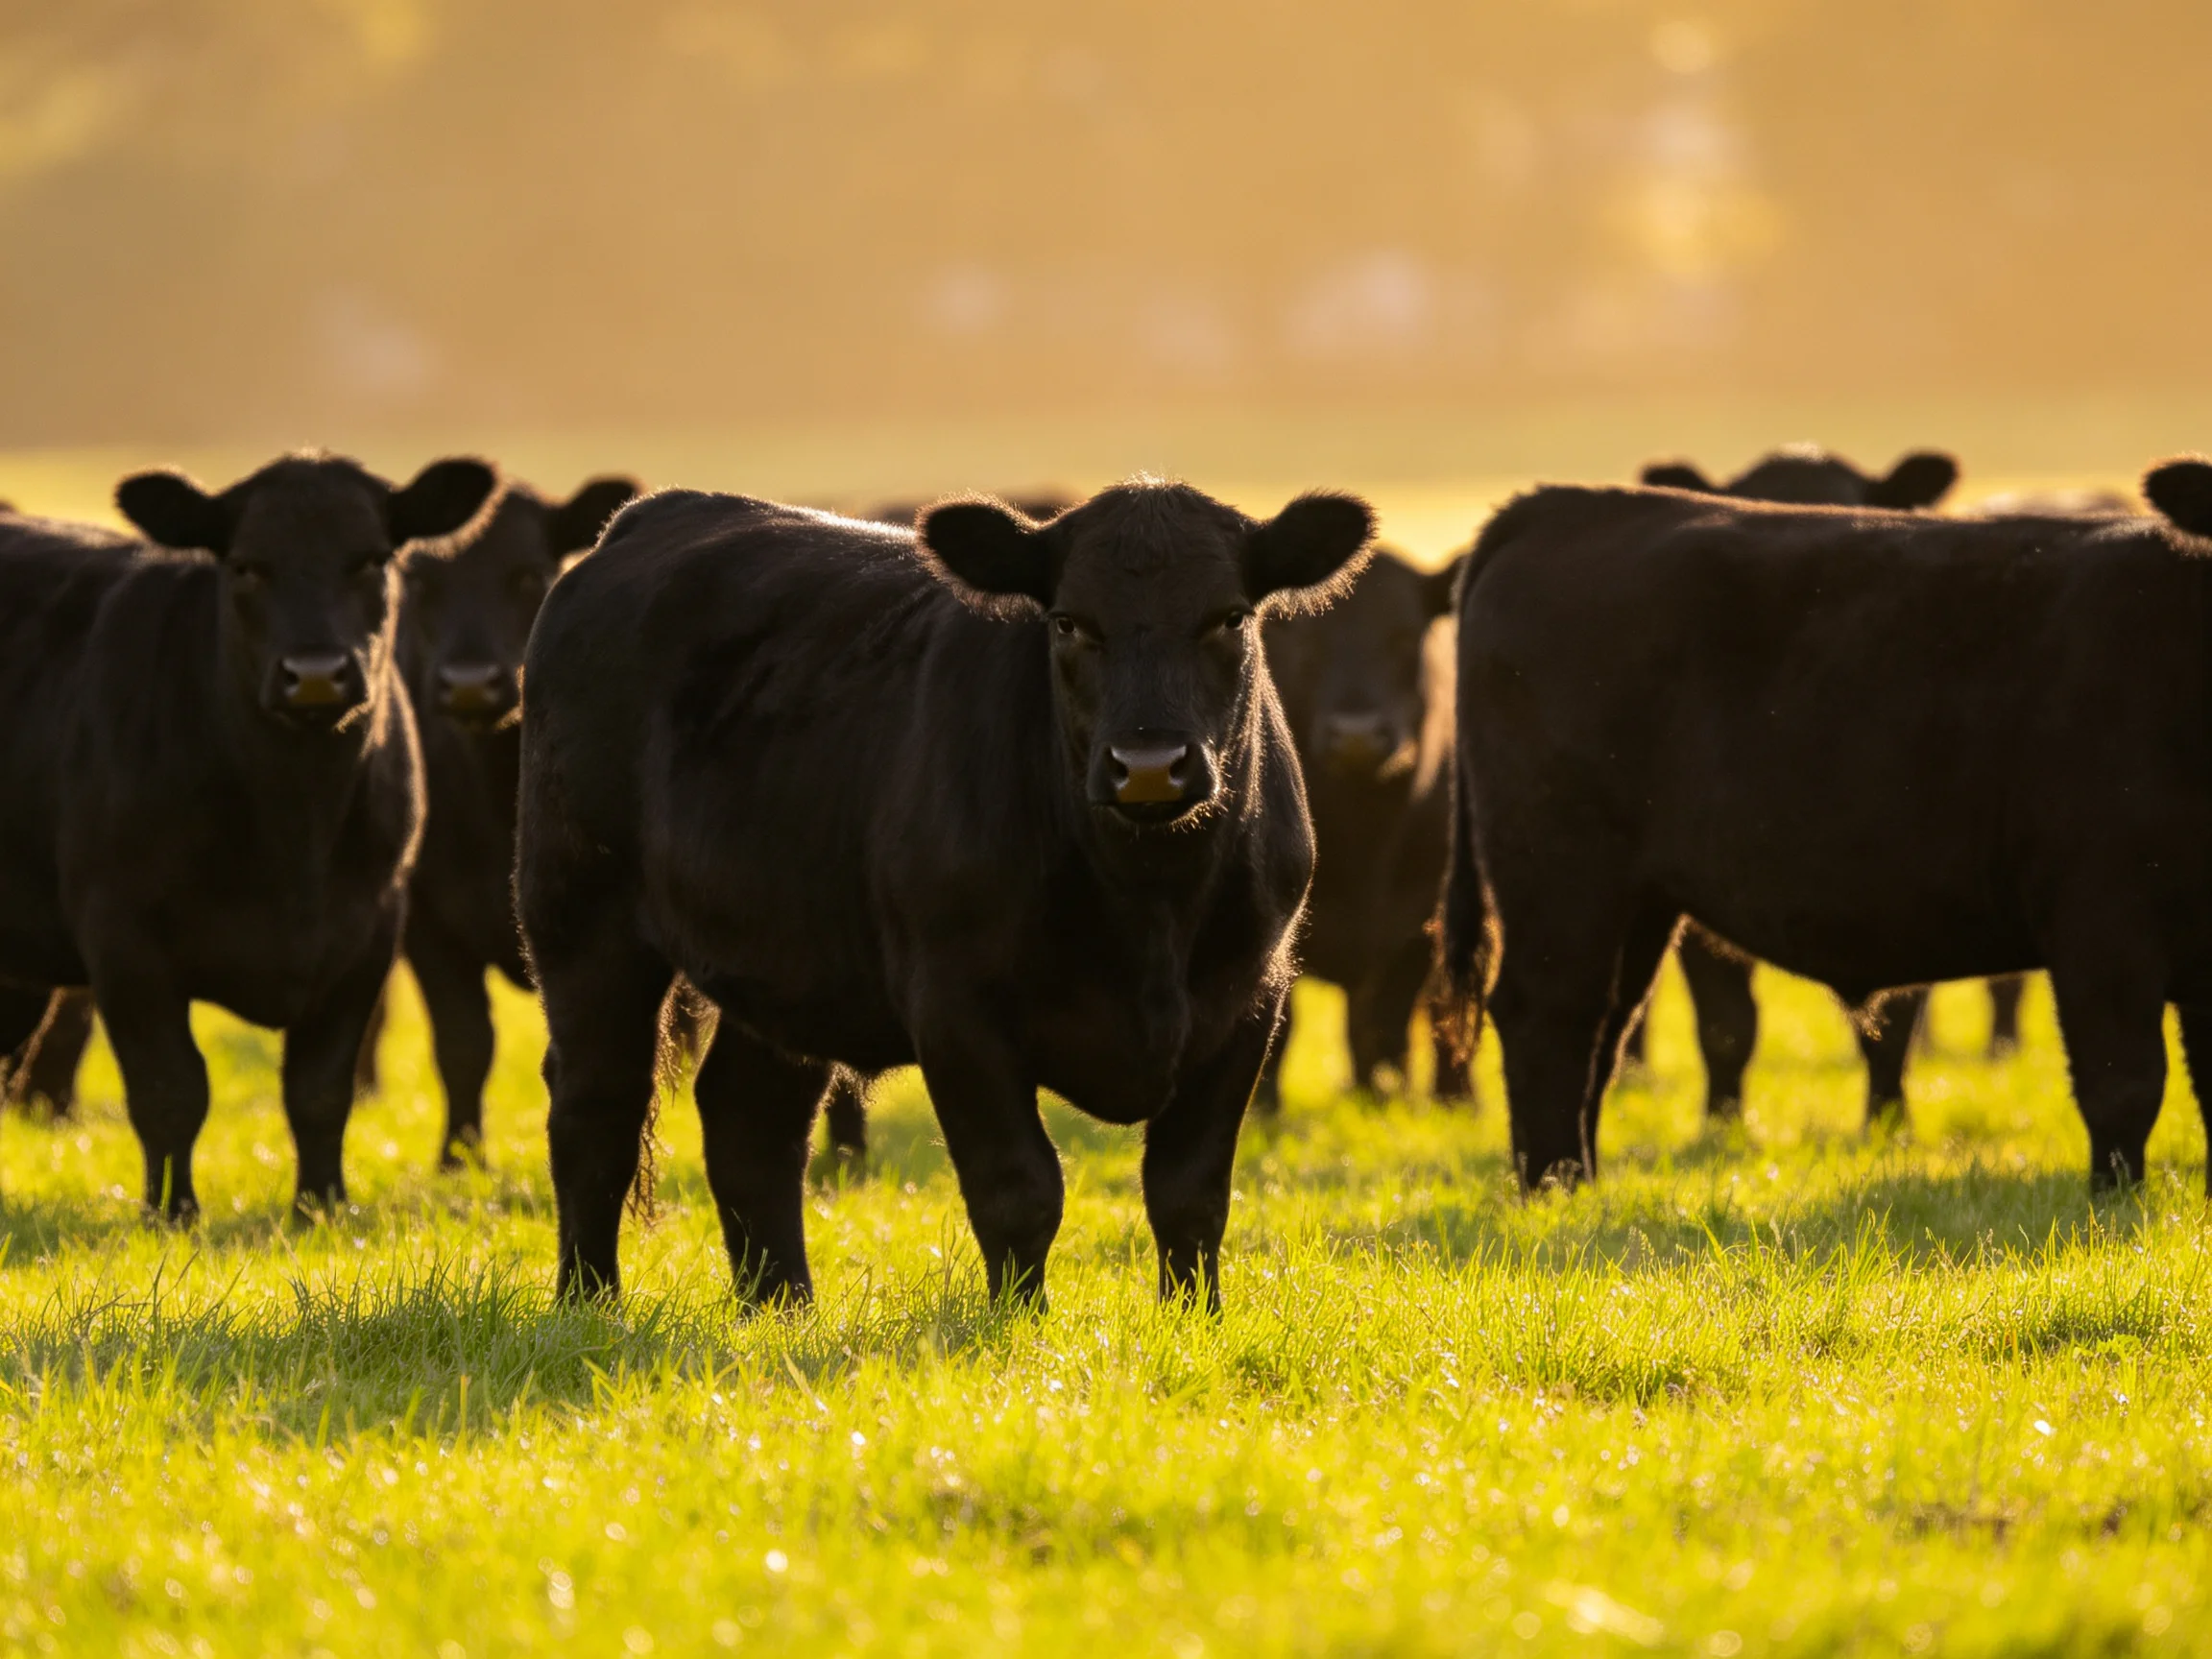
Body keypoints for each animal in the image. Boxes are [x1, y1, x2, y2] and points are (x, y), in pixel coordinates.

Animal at [0, 453, 495, 1218]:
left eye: (373, 559)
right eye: (245, 566)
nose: (316, 674)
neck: (292, 830)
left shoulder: (368, 932)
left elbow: (320, 1091)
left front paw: (322, 1208)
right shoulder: (122, 936)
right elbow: (171, 1089)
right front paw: (172, 1213)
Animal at [396, 474, 639, 1167]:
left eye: (529, 574)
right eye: (420, 581)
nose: (469, 684)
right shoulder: (426, 921)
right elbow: (463, 1043)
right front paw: (459, 1160)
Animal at [516, 480, 1372, 1309]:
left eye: (1231, 617)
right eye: (1068, 623)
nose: (1151, 766)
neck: (1149, 904)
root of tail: (654, 513)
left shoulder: (1248, 998)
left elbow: (1189, 1194)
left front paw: (1194, 1318)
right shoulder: (956, 1006)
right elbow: (1018, 1189)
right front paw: (1019, 1325)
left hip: (787, 958)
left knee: (749, 1120)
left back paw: (782, 1308)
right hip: (581, 917)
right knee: (597, 1104)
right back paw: (589, 1301)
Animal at [1258, 546, 1468, 1107]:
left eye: (1405, 637)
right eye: (1307, 639)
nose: (1356, 736)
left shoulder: (1420, 921)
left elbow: (1392, 1021)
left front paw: (1388, 1100)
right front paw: (1265, 1106)